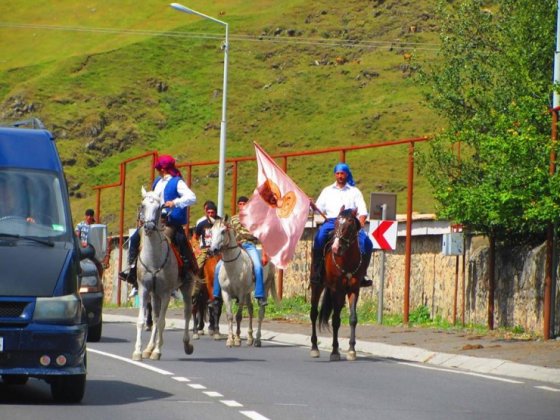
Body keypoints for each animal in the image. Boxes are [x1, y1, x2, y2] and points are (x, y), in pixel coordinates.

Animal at [132, 187, 195, 360]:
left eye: (159, 207)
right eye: (143, 205)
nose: (148, 227)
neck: (154, 258)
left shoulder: (167, 293)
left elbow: (162, 322)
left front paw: (157, 351)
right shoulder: (145, 289)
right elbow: (142, 320)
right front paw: (139, 351)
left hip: (186, 288)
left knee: (187, 313)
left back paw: (187, 344)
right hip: (155, 294)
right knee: (154, 316)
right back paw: (149, 348)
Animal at [208, 217, 278, 348]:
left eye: (223, 231)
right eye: (211, 231)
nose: (212, 250)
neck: (233, 266)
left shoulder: (240, 294)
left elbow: (239, 316)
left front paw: (237, 339)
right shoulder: (226, 293)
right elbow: (230, 316)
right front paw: (230, 340)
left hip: (264, 287)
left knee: (260, 313)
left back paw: (257, 340)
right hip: (247, 293)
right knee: (250, 309)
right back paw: (250, 338)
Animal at [308, 207, 366, 360]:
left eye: (350, 225)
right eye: (335, 224)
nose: (336, 248)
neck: (347, 259)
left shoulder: (353, 289)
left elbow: (353, 319)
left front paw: (351, 350)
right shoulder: (336, 289)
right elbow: (335, 320)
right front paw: (334, 351)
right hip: (317, 286)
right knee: (313, 314)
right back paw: (314, 347)